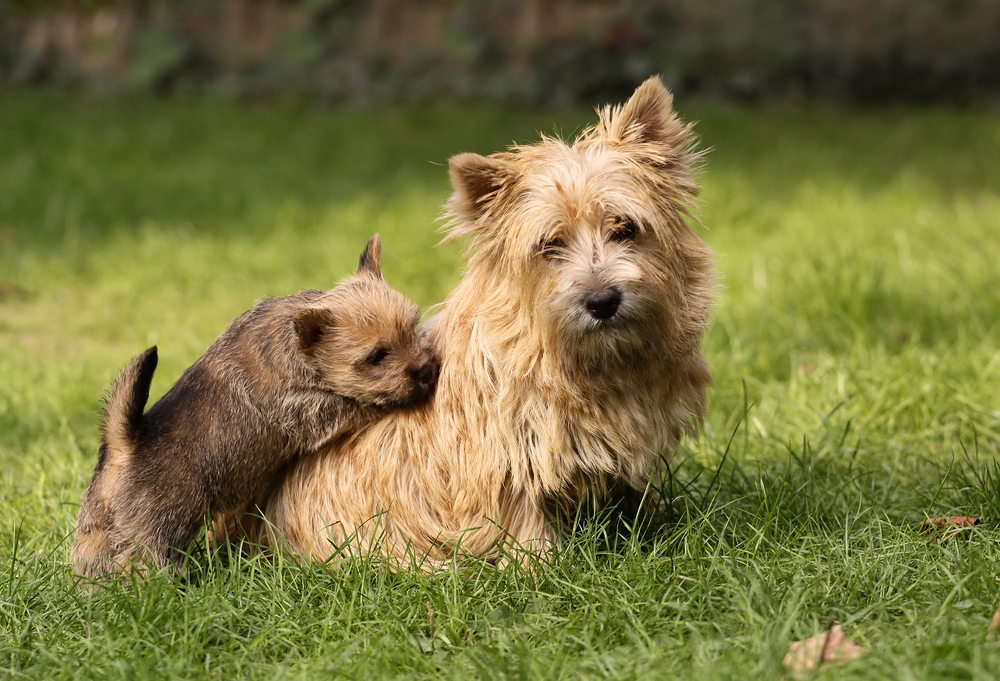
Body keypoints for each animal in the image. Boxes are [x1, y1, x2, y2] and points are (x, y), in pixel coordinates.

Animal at [72, 236, 440, 576]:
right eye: (377, 356)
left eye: (413, 326)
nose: (427, 370)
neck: (297, 350)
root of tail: (125, 443)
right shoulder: (309, 409)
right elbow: (355, 404)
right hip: (160, 529)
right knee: (142, 563)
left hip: (96, 530)